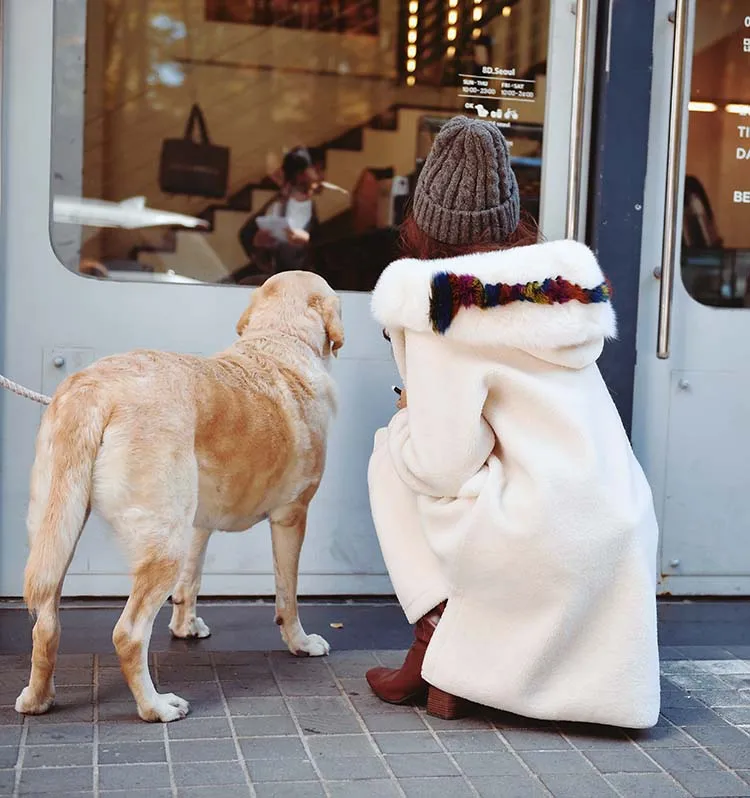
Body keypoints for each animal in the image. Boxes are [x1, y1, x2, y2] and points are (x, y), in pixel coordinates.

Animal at [15, 270, 344, 724]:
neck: (279, 342)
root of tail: (94, 387)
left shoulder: (198, 524)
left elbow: (192, 580)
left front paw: (185, 627)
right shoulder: (291, 516)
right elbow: (288, 591)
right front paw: (300, 642)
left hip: (56, 531)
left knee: (45, 624)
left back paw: (37, 699)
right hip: (162, 544)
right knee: (128, 633)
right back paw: (155, 706)